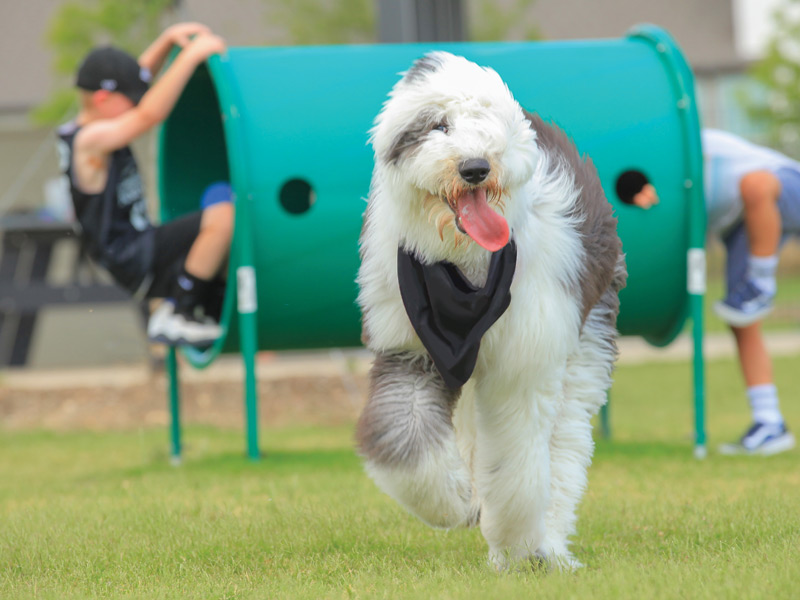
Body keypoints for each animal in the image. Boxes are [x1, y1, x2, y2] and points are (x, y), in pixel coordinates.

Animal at [354, 49, 624, 568]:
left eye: (487, 124)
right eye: (438, 125)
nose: (476, 167)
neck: (466, 268)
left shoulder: (524, 365)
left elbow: (518, 465)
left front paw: (517, 549)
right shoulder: (410, 348)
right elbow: (404, 435)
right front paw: (455, 502)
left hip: (586, 336)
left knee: (563, 450)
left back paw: (550, 546)